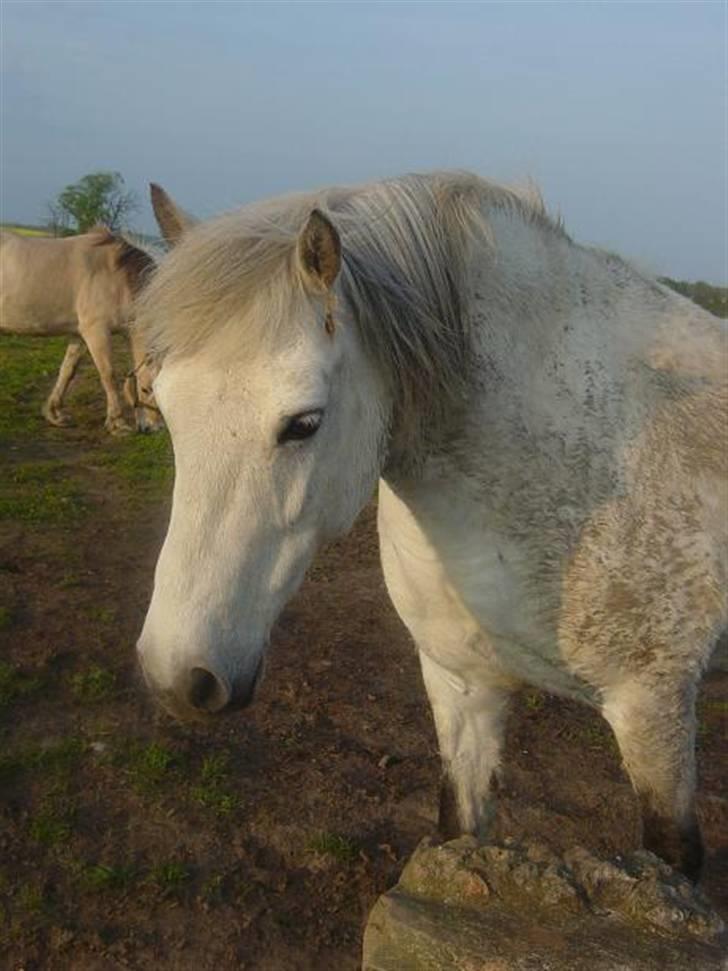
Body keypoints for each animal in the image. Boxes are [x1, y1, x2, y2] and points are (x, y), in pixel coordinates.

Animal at [0, 228, 160, 432]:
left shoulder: (79, 335)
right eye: (147, 389)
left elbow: (68, 371)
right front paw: (117, 422)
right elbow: (108, 374)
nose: (153, 428)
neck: (116, 276)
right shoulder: (96, 332)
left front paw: (54, 414)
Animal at [134, 175, 724, 880]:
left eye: (303, 423)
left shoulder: (654, 712)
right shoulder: (461, 686)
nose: (178, 677)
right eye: (162, 405)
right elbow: (460, 825)